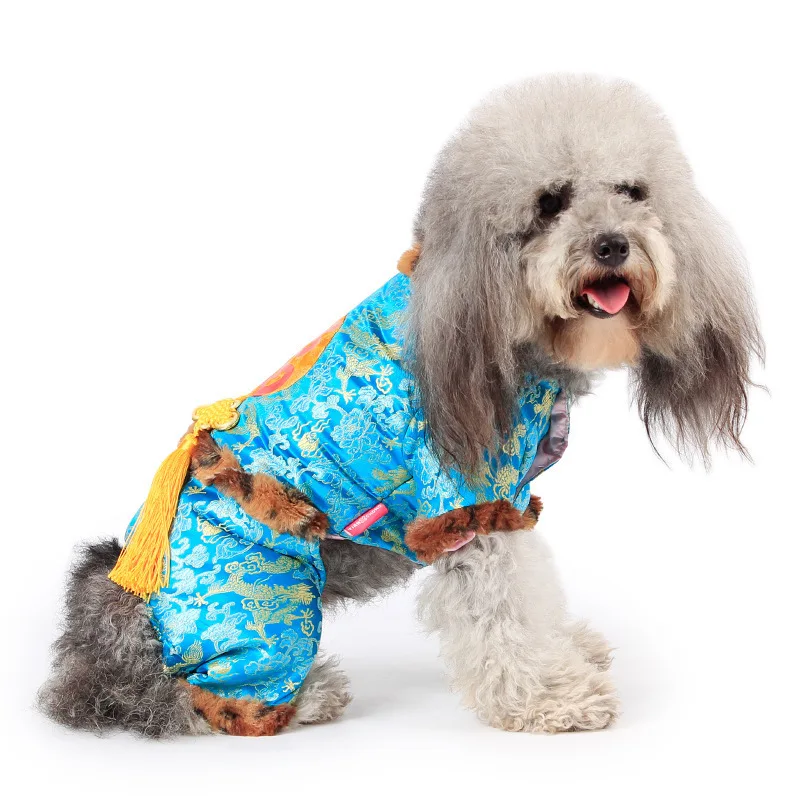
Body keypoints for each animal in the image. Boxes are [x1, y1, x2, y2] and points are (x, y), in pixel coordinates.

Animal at [38, 74, 762, 737]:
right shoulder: (467, 502)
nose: (613, 243)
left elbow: (534, 592)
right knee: (188, 701)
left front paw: (568, 651)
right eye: (550, 202)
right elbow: (505, 611)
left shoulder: (508, 500)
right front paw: (552, 697)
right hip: (264, 598)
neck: (497, 324)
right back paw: (307, 695)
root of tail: (113, 621)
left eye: (634, 192)